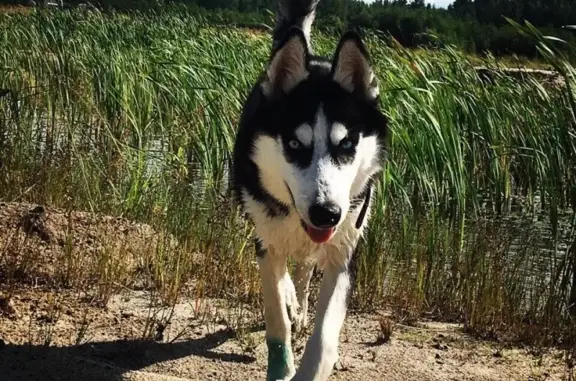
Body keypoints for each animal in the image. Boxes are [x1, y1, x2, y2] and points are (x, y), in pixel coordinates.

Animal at [232, 1, 390, 378]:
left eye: (346, 144)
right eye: (293, 144)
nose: (326, 213)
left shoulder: (344, 252)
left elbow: (324, 340)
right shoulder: (265, 240)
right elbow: (276, 316)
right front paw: (281, 363)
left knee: (304, 265)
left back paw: (300, 304)